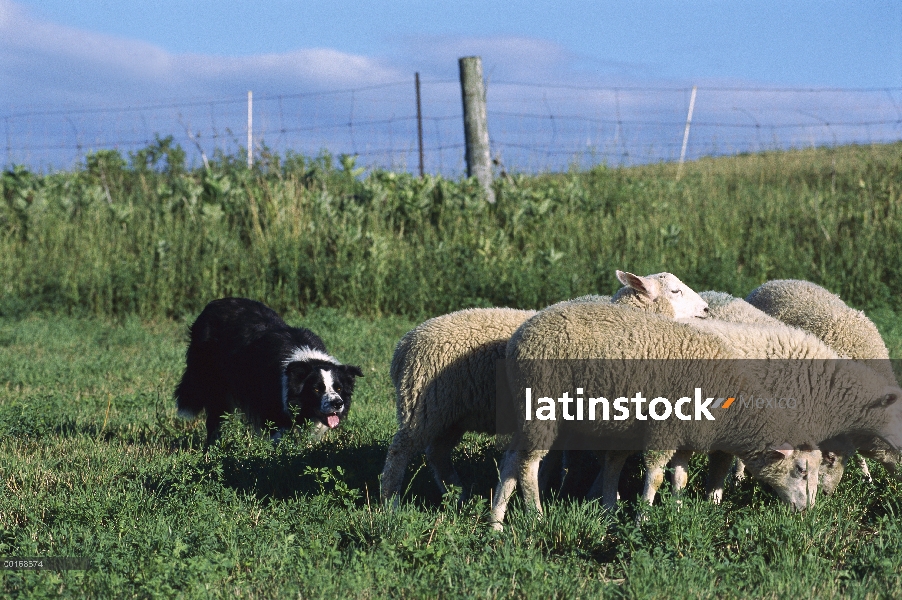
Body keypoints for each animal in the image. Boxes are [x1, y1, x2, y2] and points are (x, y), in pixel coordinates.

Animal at [175, 298, 362, 446]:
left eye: (338, 388)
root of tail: (210, 306)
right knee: (214, 419)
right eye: (316, 389)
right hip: (213, 381)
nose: (337, 404)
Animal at [378, 272, 708, 502]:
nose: (706, 309)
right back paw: (390, 504)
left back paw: (457, 493)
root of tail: (402, 346)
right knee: (399, 452)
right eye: (675, 290)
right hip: (422, 405)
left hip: (449, 415)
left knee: (437, 453)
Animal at [490, 300, 902, 524]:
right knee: (530, 463)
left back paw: (497, 521)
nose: (810, 512)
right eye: (800, 470)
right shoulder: (667, 429)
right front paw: (648, 516)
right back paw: (537, 514)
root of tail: (526, 328)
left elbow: (681, 475)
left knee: (512, 459)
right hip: (543, 405)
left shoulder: (693, 432)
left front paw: (679, 509)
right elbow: (661, 474)